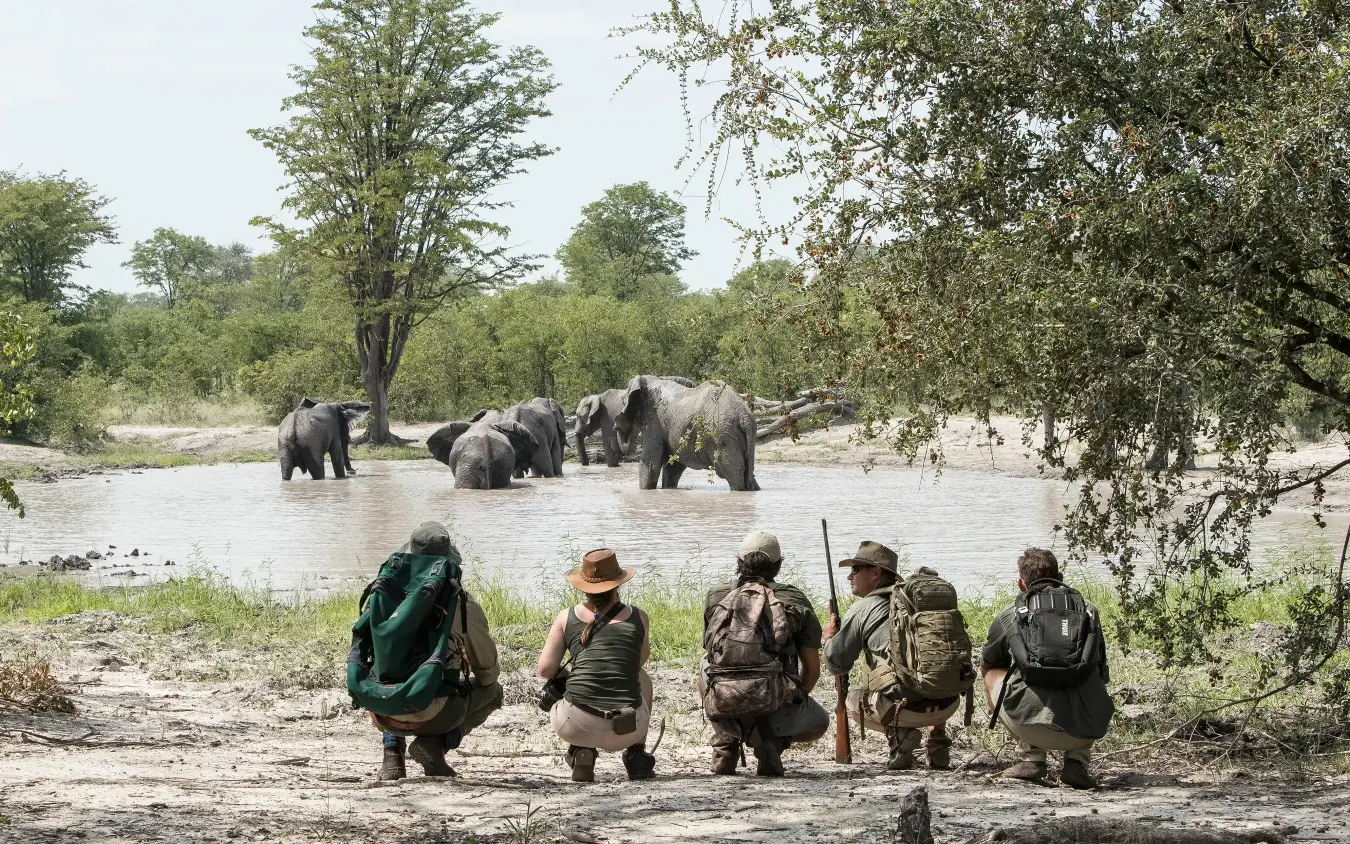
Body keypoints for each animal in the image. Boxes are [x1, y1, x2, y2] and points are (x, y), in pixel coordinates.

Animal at [613, 375, 760, 491]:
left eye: (623, 402)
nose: (616, 425)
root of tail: (744, 416)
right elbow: (674, 465)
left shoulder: (654, 421)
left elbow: (651, 462)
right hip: (746, 435)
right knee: (749, 472)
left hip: (723, 435)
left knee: (732, 472)